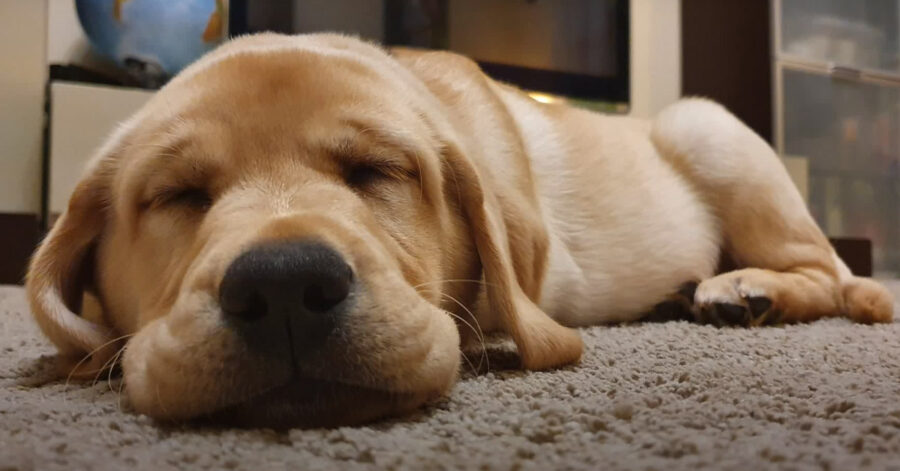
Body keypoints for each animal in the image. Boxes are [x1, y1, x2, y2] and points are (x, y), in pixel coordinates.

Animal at [26, 33, 892, 428]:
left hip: (705, 125)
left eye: (379, 170)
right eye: (177, 194)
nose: (283, 286)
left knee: (828, 273)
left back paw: (742, 289)